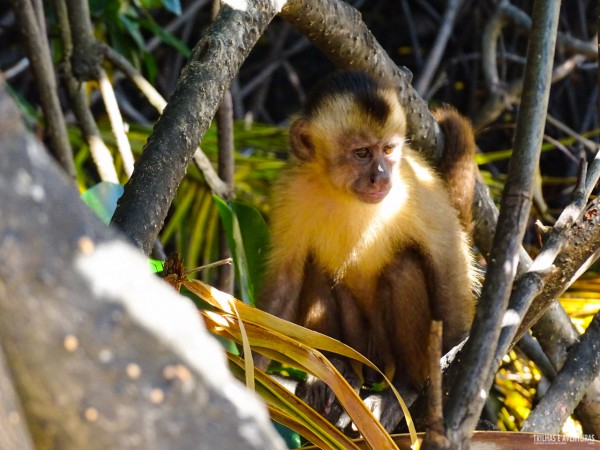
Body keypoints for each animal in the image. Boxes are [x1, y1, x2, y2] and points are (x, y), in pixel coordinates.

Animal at [256, 71, 478, 432]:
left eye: (387, 150)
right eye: (361, 153)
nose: (381, 177)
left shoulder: (416, 183)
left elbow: (448, 263)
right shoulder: (290, 190)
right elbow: (286, 280)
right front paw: (249, 365)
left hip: (385, 354)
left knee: (405, 269)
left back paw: (403, 388)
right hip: (359, 345)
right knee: (316, 268)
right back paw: (335, 370)